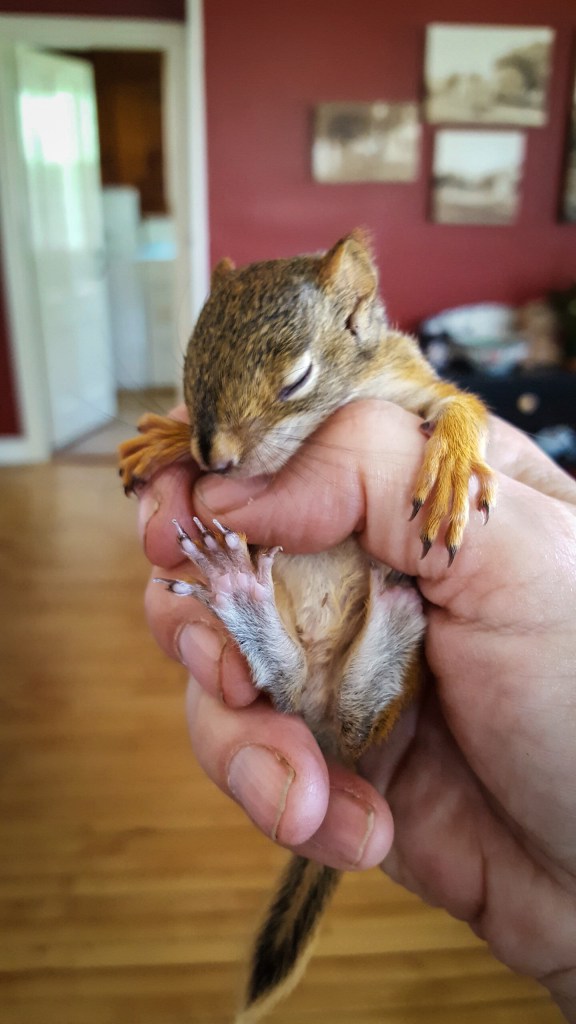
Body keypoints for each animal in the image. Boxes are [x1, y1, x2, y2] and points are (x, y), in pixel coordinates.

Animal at [118, 229, 496, 1023]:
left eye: (295, 379)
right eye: (190, 364)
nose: (215, 459)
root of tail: (324, 720)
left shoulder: (413, 381)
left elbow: (461, 404)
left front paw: (451, 461)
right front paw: (165, 438)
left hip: (384, 705)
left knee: (359, 714)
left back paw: (394, 603)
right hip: (297, 686)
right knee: (288, 687)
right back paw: (242, 595)